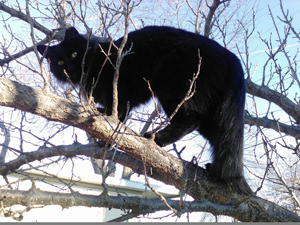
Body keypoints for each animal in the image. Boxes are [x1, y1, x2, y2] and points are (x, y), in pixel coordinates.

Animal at [38, 25, 253, 194]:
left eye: (74, 54)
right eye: (59, 62)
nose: (70, 66)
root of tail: (232, 58)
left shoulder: (120, 93)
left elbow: (115, 120)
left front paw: (106, 141)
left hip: (172, 86)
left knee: (192, 119)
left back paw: (155, 138)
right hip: (214, 115)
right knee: (217, 138)